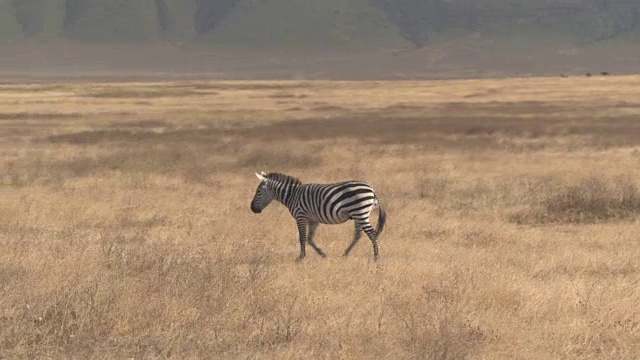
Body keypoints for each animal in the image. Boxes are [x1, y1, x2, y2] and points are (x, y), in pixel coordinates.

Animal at [250, 172, 384, 260]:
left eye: (258, 192)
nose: (252, 209)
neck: (292, 195)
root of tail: (372, 189)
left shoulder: (301, 216)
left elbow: (302, 237)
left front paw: (301, 257)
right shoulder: (313, 220)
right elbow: (309, 238)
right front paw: (322, 254)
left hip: (360, 212)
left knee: (372, 233)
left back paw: (376, 256)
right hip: (358, 214)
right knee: (358, 235)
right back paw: (346, 253)